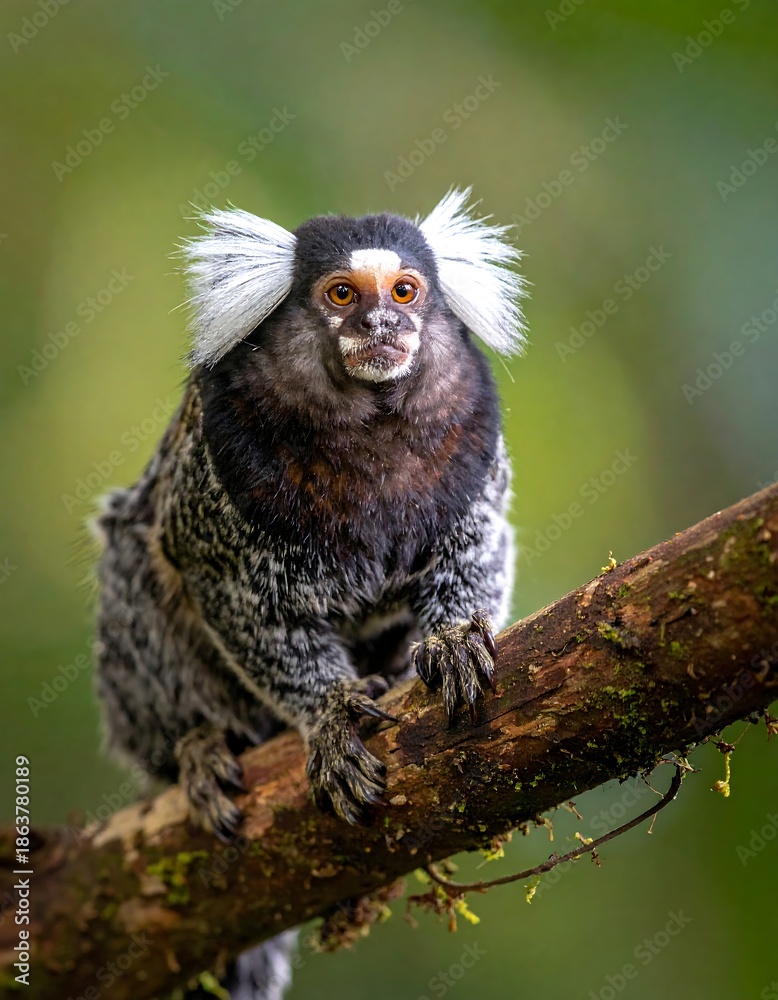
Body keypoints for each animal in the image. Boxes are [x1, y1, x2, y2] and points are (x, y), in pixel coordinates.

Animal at [92, 188, 526, 999]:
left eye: (405, 292)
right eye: (342, 295)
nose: (384, 326)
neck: (369, 429)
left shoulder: (475, 450)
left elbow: (479, 546)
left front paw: (452, 639)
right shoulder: (218, 478)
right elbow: (226, 592)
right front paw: (328, 713)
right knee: (135, 561)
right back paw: (195, 746)